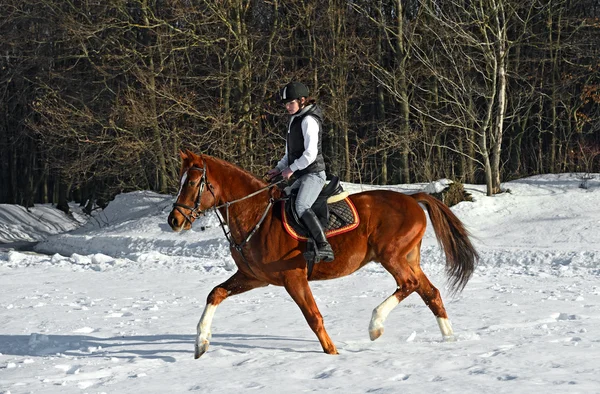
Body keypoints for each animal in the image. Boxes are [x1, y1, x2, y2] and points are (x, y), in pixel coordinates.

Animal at [168, 149, 478, 358]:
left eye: (192, 183)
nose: (174, 220)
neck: (257, 215)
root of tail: (412, 199)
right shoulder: (253, 277)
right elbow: (215, 294)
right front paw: (200, 344)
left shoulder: (293, 277)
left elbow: (313, 317)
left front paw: (332, 354)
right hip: (408, 258)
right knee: (430, 292)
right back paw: (449, 339)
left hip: (392, 256)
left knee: (409, 285)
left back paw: (375, 326)